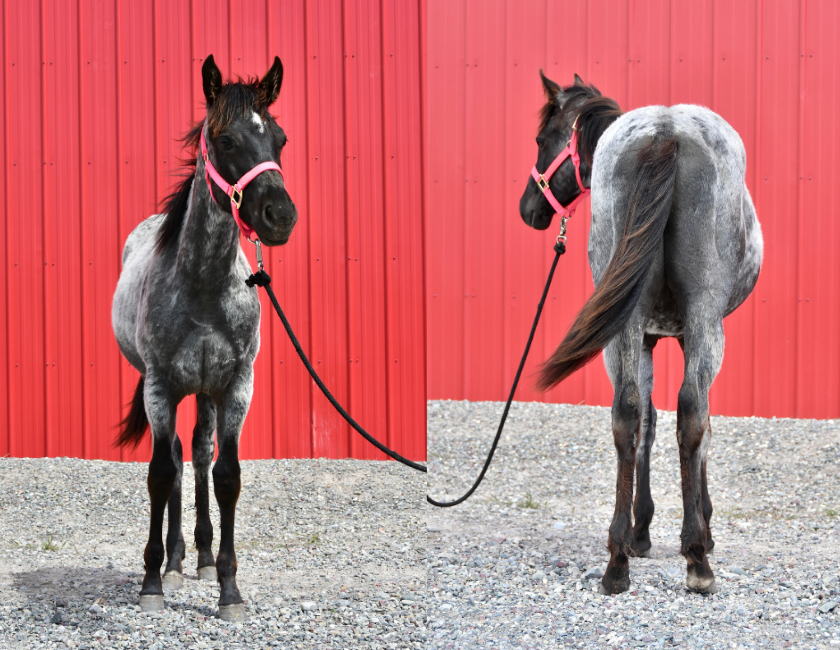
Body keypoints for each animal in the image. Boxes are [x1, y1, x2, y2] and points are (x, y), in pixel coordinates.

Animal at [111, 54, 297, 620]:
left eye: (280, 138)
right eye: (226, 140)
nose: (280, 216)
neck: (203, 285)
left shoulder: (235, 387)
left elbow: (226, 475)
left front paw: (229, 589)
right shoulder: (160, 388)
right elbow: (158, 473)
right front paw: (151, 581)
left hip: (206, 394)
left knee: (196, 453)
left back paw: (203, 558)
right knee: (173, 458)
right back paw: (172, 562)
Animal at [519, 72, 762, 595]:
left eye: (541, 139)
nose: (529, 208)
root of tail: (664, 133)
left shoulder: (649, 333)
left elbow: (647, 419)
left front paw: (641, 532)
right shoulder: (686, 332)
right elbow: (694, 422)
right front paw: (684, 527)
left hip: (627, 328)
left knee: (627, 413)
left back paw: (617, 562)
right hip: (701, 320)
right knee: (688, 410)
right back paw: (696, 557)